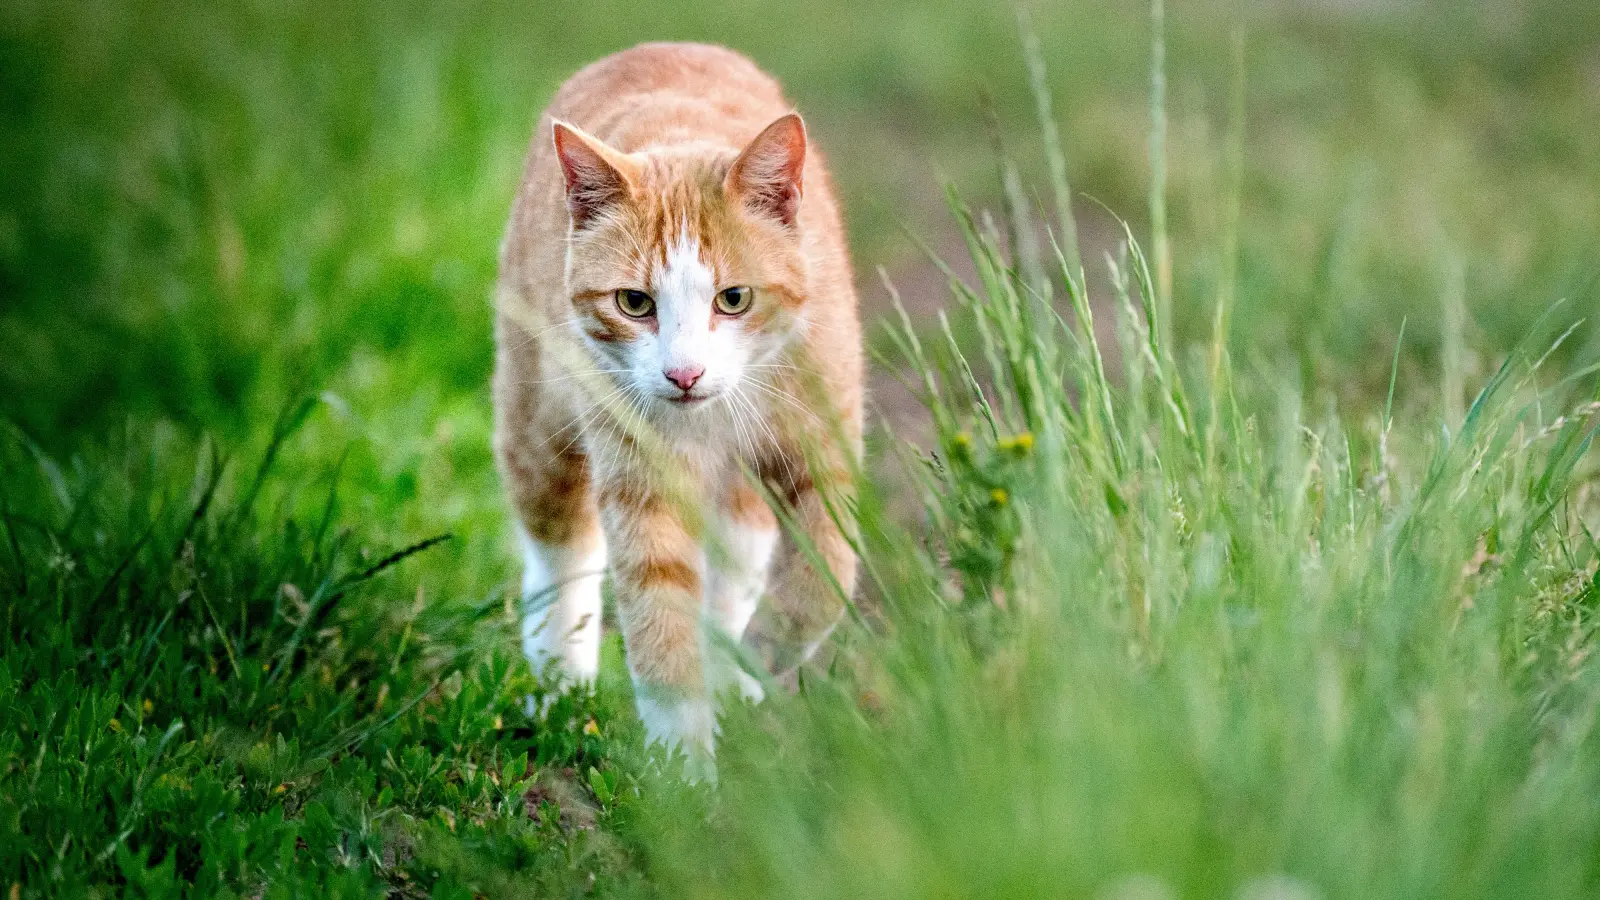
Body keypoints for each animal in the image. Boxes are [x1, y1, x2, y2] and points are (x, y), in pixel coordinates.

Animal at [492, 42, 864, 775]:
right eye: (634, 303)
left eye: (734, 298)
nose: (684, 374)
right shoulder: (642, 479)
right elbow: (659, 614)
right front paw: (682, 768)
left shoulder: (823, 444)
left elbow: (825, 573)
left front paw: (759, 657)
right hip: (537, 420)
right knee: (559, 552)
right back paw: (560, 678)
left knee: (737, 564)